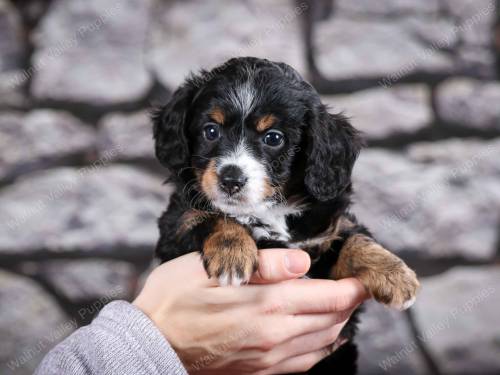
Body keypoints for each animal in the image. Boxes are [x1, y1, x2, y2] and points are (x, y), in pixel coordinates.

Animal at [152, 57, 418, 374]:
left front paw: (396, 275)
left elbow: (354, 237)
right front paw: (232, 254)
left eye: (273, 138)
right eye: (211, 131)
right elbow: (208, 216)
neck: (268, 210)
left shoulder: (324, 237)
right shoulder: (174, 226)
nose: (231, 180)